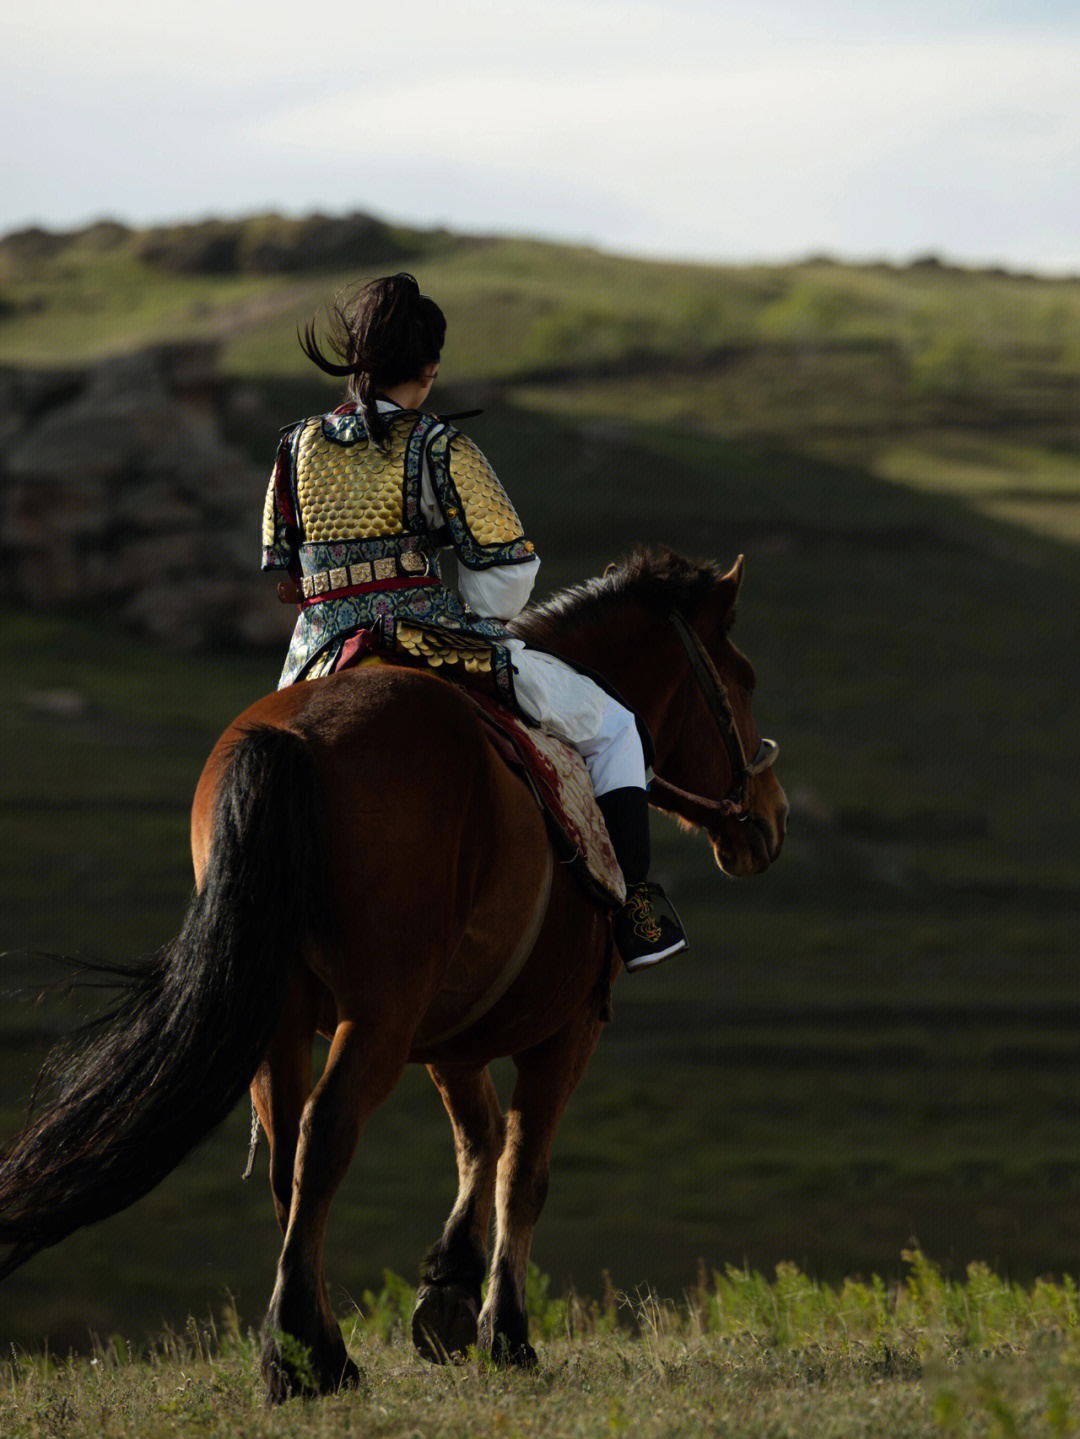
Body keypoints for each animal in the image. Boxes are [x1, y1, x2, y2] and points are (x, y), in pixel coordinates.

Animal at [0, 543, 788, 1398]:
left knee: (289, 1153)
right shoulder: (566, 1026)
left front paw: (446, 1292)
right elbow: (523, 1167)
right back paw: (311, 1359)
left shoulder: (450, 1033)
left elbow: (478, 1138)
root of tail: (298, 739)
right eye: (744, 679)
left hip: (286, 1016)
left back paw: (311, 1347)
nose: (772, 819)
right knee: (328, 1129)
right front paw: (505, 1330)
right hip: (379, 1009)